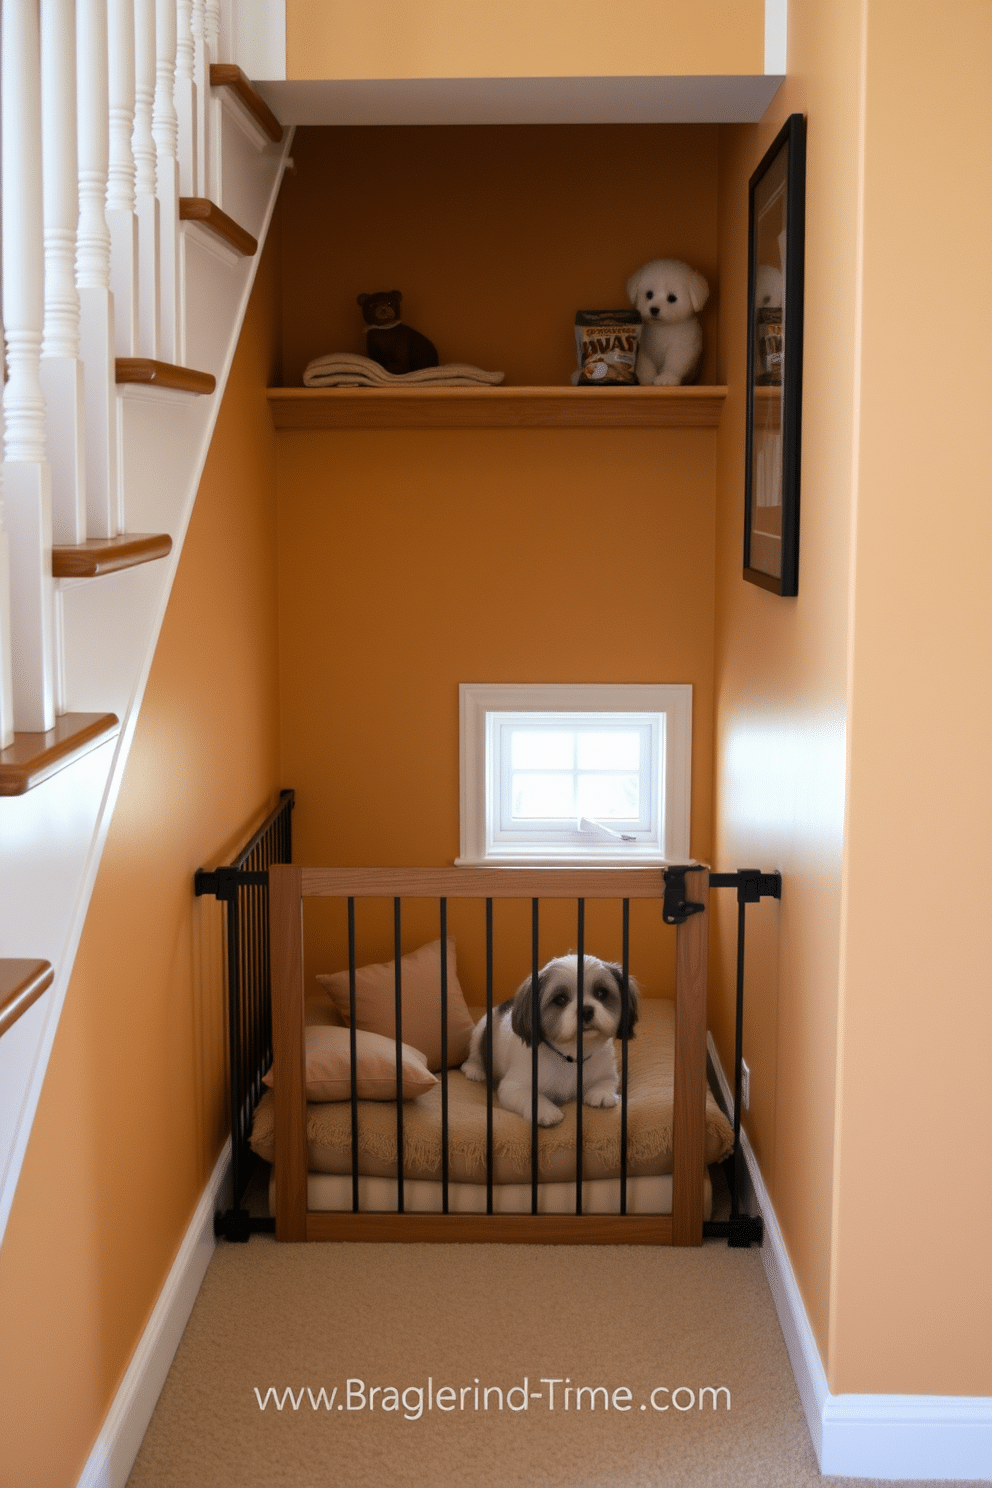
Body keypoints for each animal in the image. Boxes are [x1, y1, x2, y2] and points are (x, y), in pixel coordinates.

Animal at [461, 952, 639, 1124]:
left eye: (601, 993)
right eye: (560, 999)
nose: (586, 1010)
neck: (571, 1056)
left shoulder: (607, 1071)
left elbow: (608, 1081)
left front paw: (602, 1094)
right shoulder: (513, 1086)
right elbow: (527, 1095)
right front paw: (545, 1111)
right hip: (481, 1031)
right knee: (473, 1057)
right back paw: (475, 1070)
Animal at [624, 257, 710, 386]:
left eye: (672, 298)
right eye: (649, 294)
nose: (654, 309)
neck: (663, 326)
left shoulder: (680, 348)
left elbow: (674, 364)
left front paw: (667, 378)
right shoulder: (645, 351)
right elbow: (646, 366)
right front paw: (646, 380)